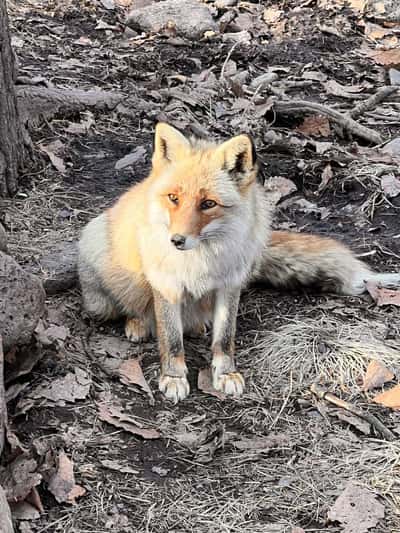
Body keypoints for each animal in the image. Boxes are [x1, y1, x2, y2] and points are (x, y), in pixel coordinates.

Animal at [79, 122, 400, 402]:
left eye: (208, 204)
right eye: (173, 198)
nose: (177, 240)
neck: (202, 260)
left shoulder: (229, 285)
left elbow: (225, 337)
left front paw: (225, 374)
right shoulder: (167, 285)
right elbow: (171, 340)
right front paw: (173, 377)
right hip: (103, 288)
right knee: (127, 307)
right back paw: (137, 323)